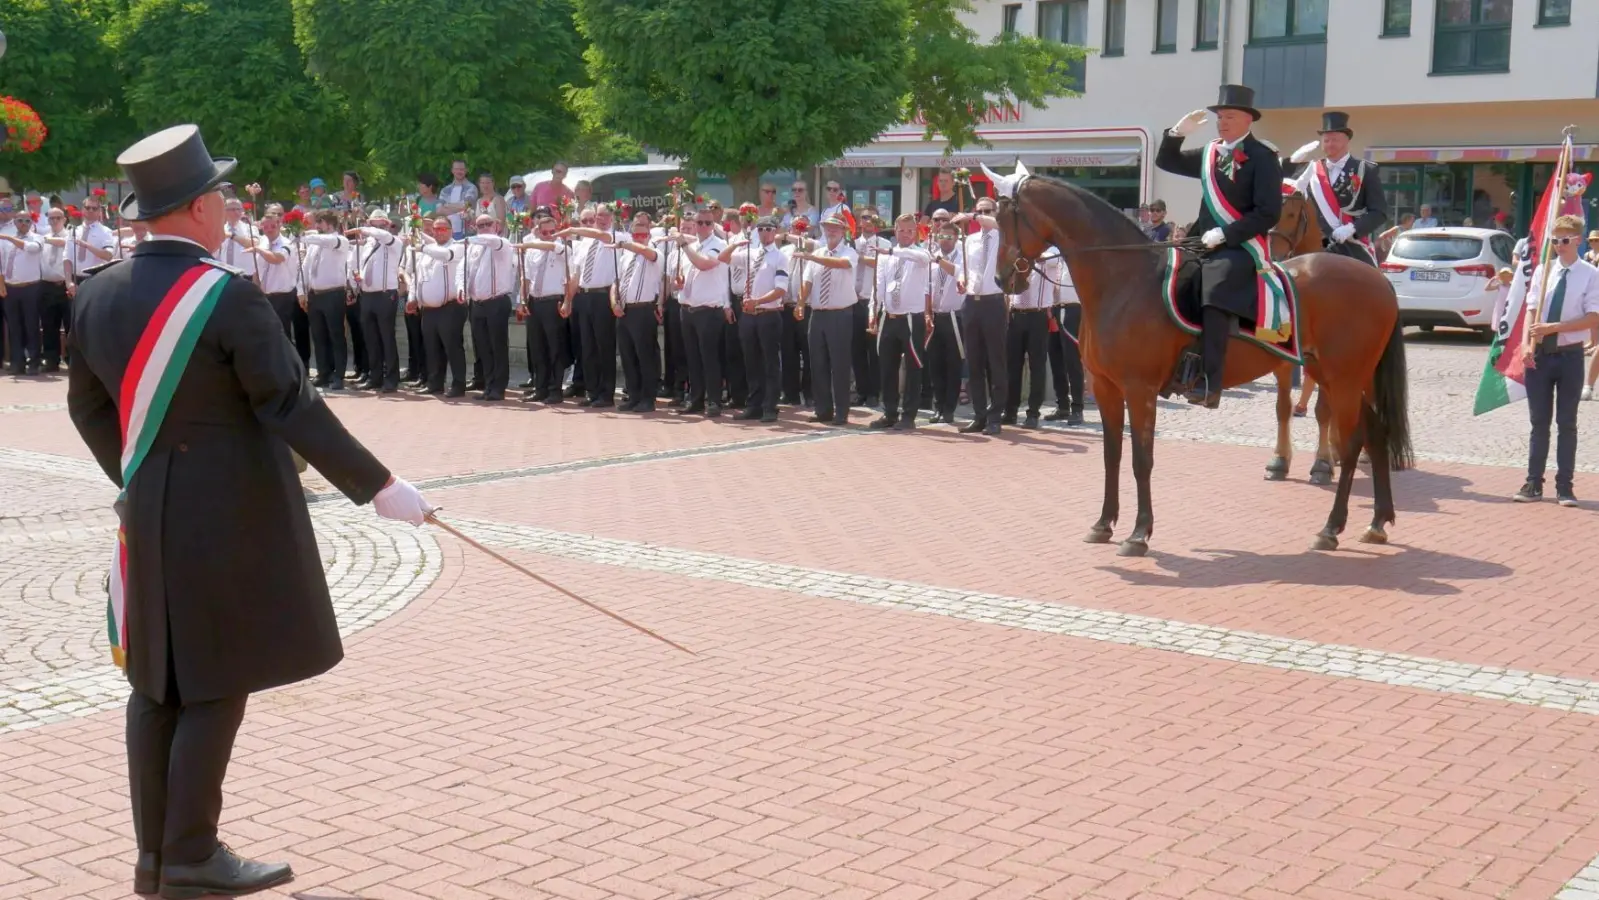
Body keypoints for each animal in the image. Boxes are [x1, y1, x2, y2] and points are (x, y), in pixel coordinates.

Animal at [997, 175, 1413, 556]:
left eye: (1004, 220)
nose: (1002, 278)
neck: (1124, 280)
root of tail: (1377, 278)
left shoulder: (1140, 390)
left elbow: (1141, 460)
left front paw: (1139, 533)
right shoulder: (1105, 387)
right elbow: (1111, 456)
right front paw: (1103, 524)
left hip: (1344, 380)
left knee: (1353, 443)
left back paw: (1331, 527)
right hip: (1338, 377)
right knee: (1376, 434)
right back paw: (1377, 522)